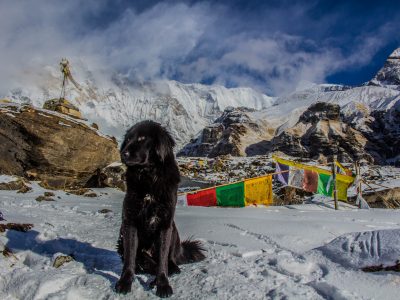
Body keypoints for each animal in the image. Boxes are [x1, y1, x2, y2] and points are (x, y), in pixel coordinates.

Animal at [115, 120, 203, 298]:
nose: (123, 154)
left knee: (169, 259)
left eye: (142, 139)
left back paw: (171, 269)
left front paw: (162, 284)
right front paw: (125, 282)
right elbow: (129, 257)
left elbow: (162, 260)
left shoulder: (164, 224)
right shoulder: (130, 223)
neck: (149, 177)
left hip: (173, 229)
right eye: (128, 139)